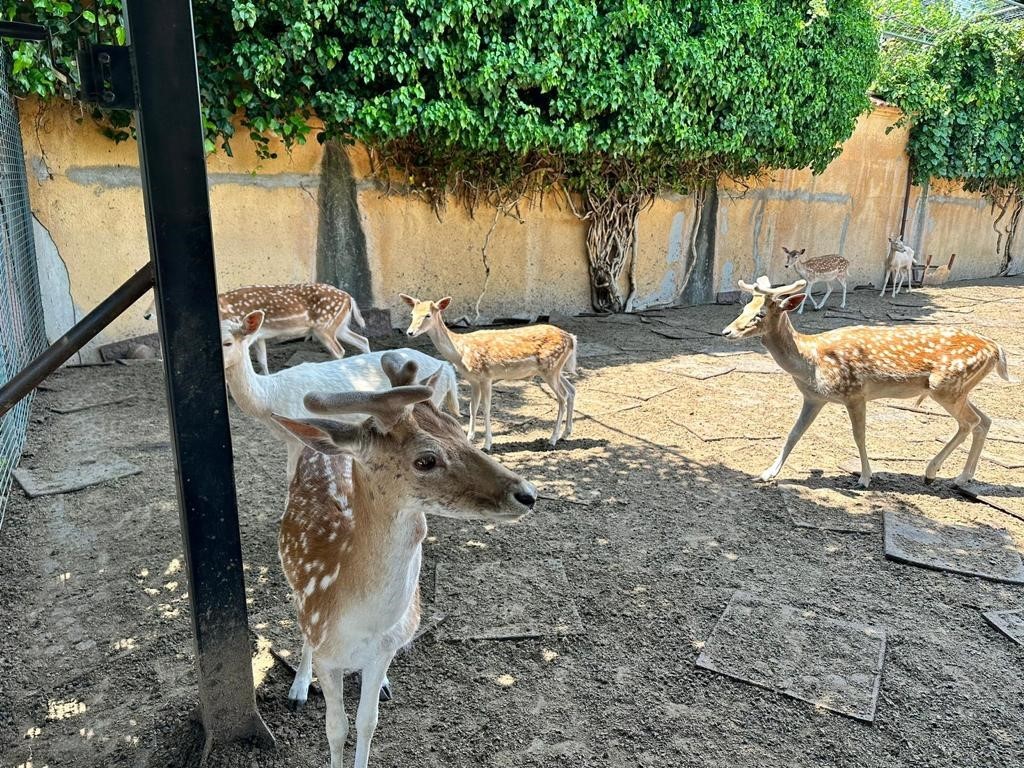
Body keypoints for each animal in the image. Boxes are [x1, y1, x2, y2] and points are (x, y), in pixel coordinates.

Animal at [146, 284, 370, 376]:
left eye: (159, 301)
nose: (146, 315)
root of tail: (349, 297)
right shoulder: (259, 336)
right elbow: (262, 359)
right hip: (338, 326)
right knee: (362, 340)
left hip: (325, 327)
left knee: (340, 351)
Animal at [268, 354, 540, 768]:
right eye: (426, 460)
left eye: (459, 429)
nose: (528, 494)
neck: (362, 622)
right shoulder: (327, 652)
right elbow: (335, 728)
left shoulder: (385, 649)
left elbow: (367, 723)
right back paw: (298, 686)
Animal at [397, 294, 577, 450]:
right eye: (412, 314)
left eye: (427, 315)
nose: (410, 332)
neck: (460, 352)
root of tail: (572, 339)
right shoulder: (473, 380)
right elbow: (472, 407)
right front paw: (469, 438)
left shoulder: (486, 377)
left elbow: (486, 407)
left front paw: (487, 444)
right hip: (555, 370)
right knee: (572, 389)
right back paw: (565, 433)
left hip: (550, 368)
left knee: (562, 396)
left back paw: (553, 439)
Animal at [724, 280, 1011, 489]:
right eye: (743, 309)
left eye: (760, 314)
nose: (727, 332)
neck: (809, 361)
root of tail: (996, 349)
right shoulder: (814, 397)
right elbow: (794, 433)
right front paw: (766, 473)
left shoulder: (854, 393)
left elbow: (859, 435)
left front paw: (864, 477)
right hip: (959, 390)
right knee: (984, 420)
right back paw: (962, 477)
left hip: (945, 386)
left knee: (970, 422)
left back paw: (932, 472)